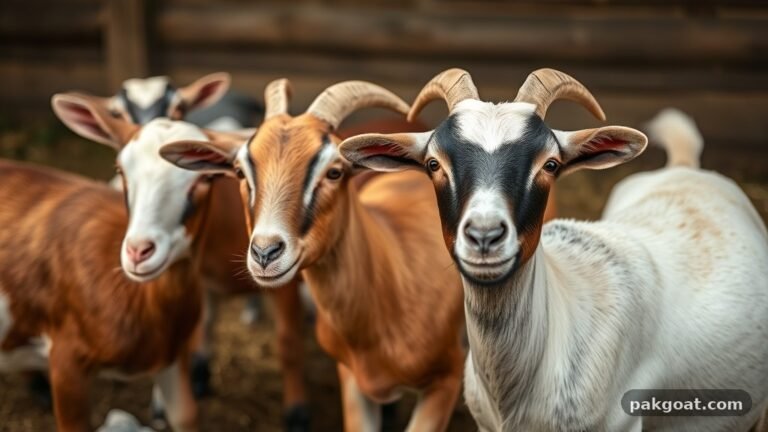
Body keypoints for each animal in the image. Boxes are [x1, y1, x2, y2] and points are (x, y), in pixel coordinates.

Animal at [0, 150, 203, 431]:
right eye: (121, 170)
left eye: (204, 180)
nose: (139, 250)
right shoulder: (66, 362)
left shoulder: (175, 353)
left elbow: (186, 416)